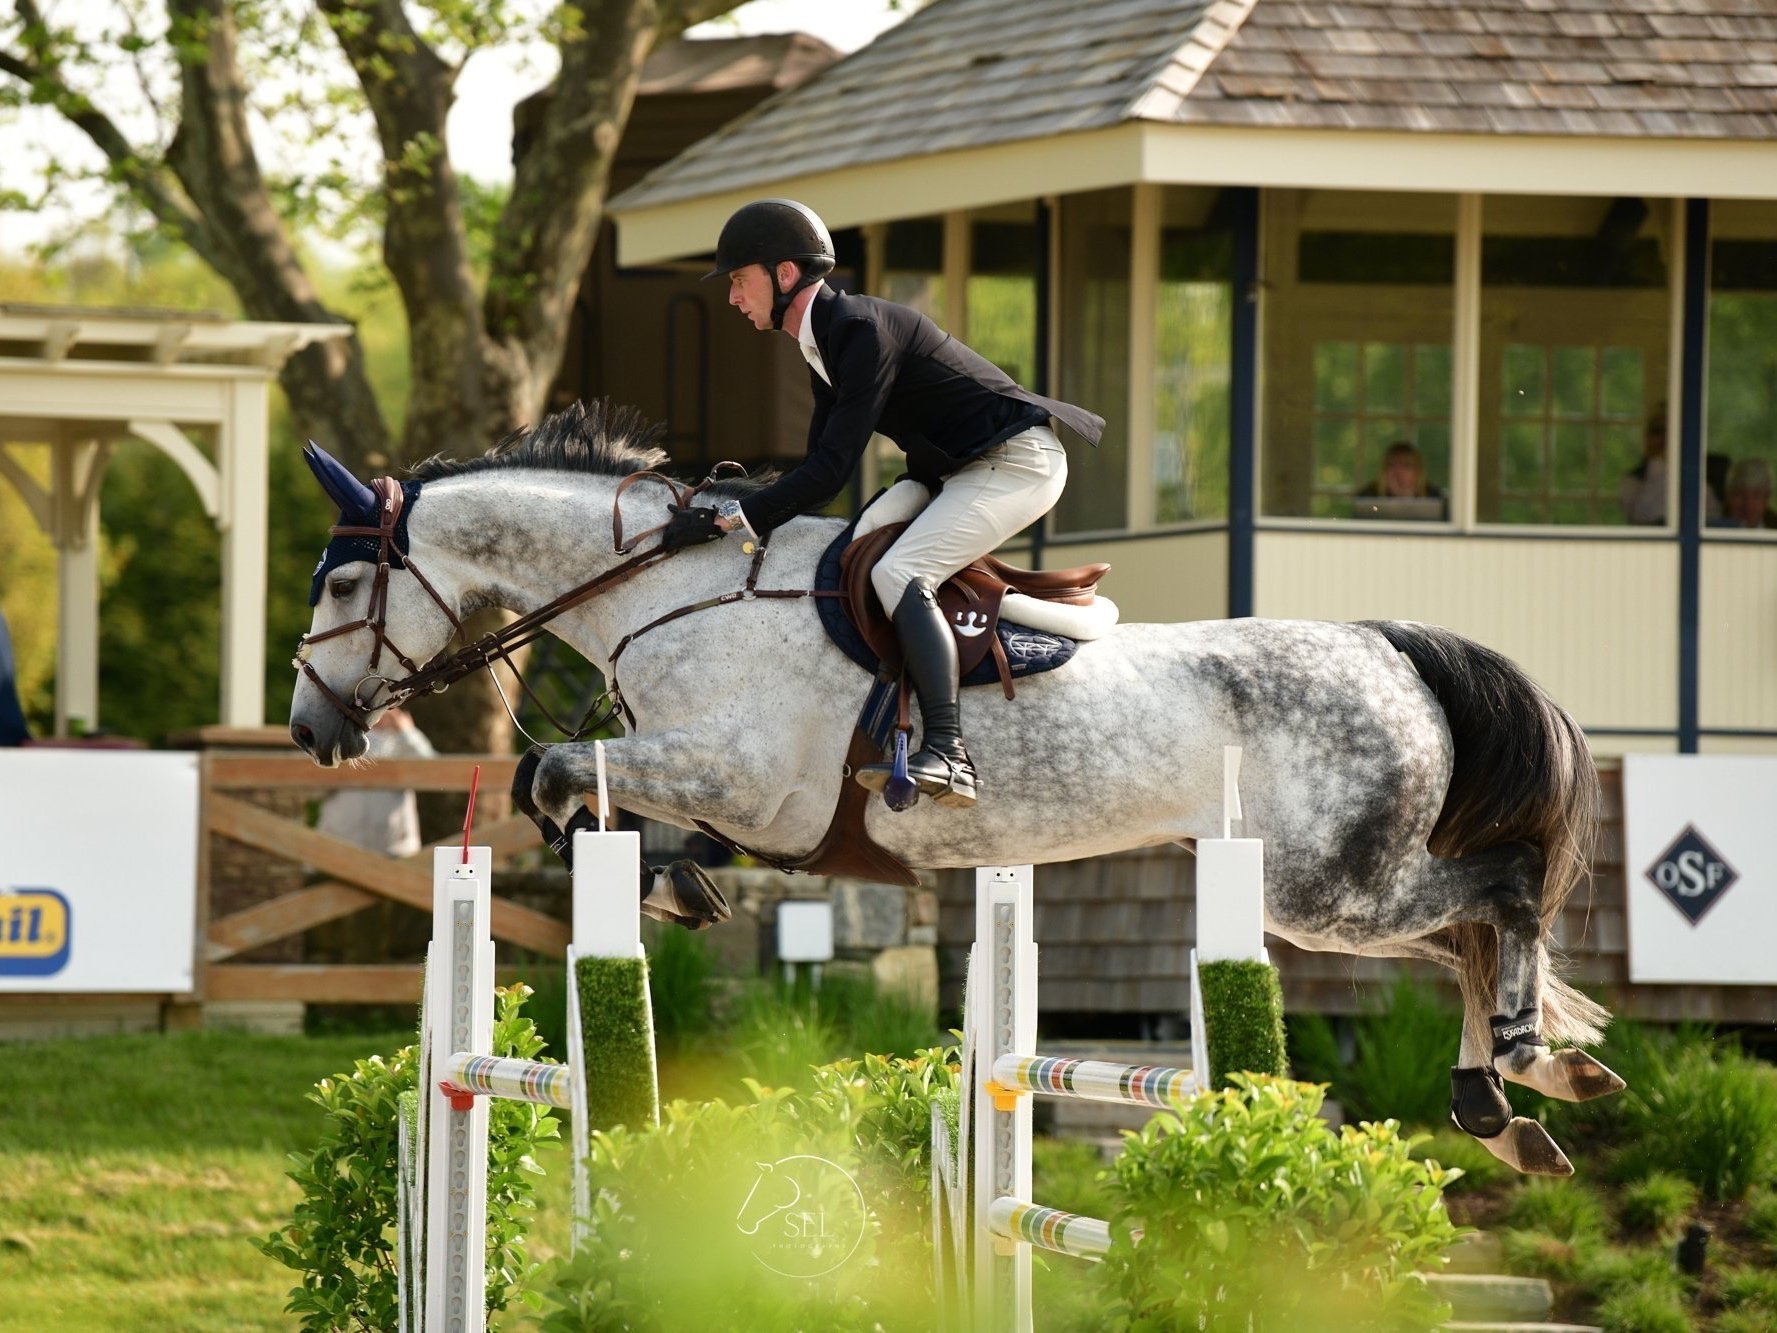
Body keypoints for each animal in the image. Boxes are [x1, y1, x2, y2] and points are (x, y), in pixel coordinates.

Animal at [294, 401, 1627, 1173]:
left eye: (344, 588)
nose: (311, 728)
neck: (673, 592)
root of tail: (1386, 645)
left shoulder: (744, 774)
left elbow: (557, 774)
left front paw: (664, 879)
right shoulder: (736, 793)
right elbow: (616, 808)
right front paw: (683, 885)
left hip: (1325, 890)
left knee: (1499, 893)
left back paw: (1524, 1061)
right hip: (1333, 892)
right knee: (1465, 930)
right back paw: (1507, 1101)